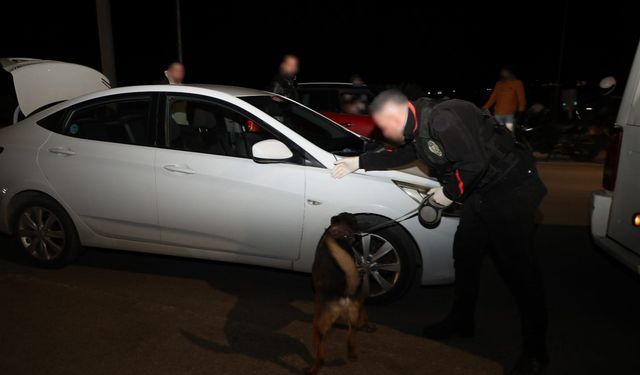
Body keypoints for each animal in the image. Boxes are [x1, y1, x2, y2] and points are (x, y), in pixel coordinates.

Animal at [306, 213, 372, 374]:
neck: (341, 234)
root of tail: (345, 292)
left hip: (319, 325)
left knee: (321, 354)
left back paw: (313, 368)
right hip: (353, 318)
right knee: (351, 338)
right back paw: (352, 354)